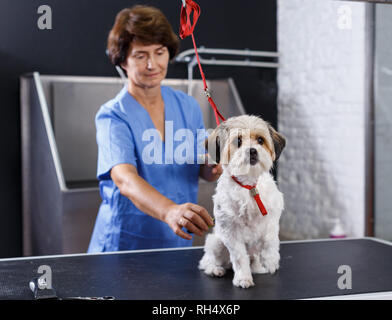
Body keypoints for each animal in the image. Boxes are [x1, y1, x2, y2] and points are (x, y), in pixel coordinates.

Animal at [199, 114, 284, 288]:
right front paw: (243, 278)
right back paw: (214, 269)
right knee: (207, 261)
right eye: (238, 141)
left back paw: (259, 266)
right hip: (216, 242)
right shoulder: (230, 231)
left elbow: (270, 240)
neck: (248, 186)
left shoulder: (272, 217)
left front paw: (270, 260)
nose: (252, 150)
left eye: (260, 140)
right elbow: (239, 257)